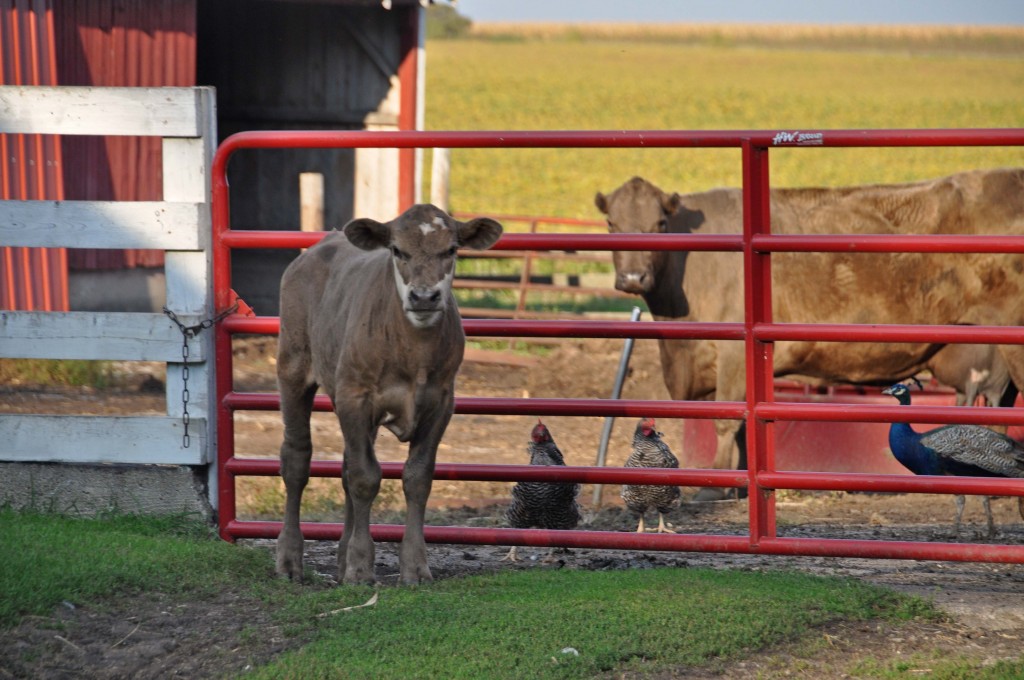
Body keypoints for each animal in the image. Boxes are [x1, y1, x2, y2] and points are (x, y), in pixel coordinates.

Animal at [274, 201, 501, 585]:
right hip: (293, 365)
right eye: (397, 250)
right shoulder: (356, 396)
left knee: (346, 466)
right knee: (297, 460)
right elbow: (365, 478)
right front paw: (361, 567)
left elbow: (416, 477)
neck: (413, 350)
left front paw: (414, 565)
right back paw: (290, 559)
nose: (423, 297)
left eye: (451, 250)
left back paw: (341, 559)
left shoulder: (441, 403)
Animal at [598, 170, 1024, 499]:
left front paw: (716, 485)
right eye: (612, 224)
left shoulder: (733, 355)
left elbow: (728, 419)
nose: (633, 278)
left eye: (660, 224)